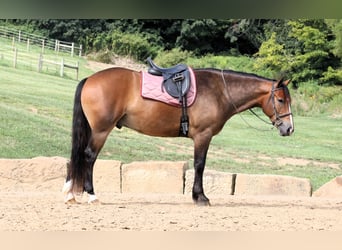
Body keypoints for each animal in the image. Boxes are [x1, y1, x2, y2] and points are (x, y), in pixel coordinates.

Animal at [63, 66, 294, 205]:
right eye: (281, 100)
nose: (289, 129)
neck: (219, 91)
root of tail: (90, 78)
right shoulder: (203, 136)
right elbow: (199, 165)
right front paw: (200, 197)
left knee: (77, 155)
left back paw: (69, 193)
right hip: (101, 131)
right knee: (89, 156)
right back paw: (91, 195)